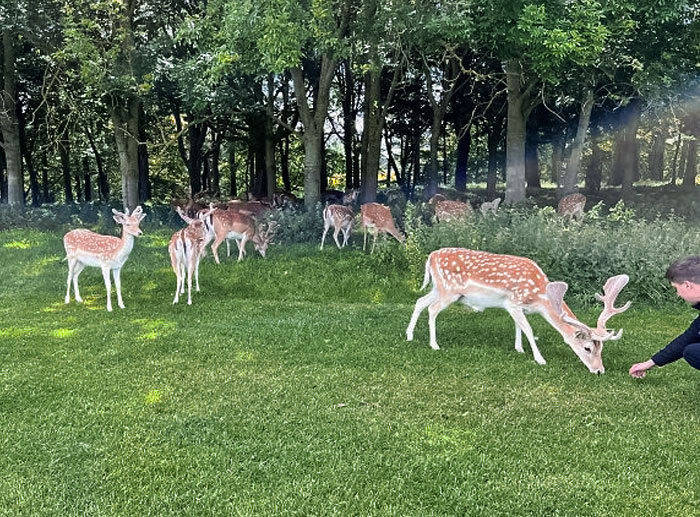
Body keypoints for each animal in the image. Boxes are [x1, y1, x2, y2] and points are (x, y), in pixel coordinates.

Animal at [402, 248, 632, 372]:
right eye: (587, 348)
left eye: (601, 349)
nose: (599, 370)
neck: (540, 297)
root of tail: (431, 256)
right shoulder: (513, 303)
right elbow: (529, 329)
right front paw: (540, 359)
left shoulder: (517, 307)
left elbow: (518, 327)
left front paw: (519, 349)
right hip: (448, 290)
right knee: (432, 309)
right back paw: (434, 344)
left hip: (439, 288)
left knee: (420, 301)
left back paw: (410, 335)